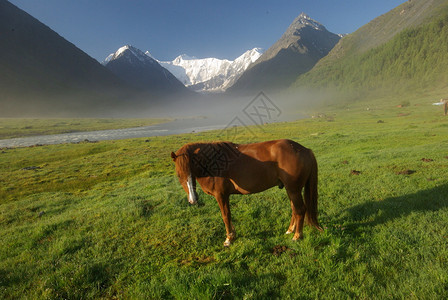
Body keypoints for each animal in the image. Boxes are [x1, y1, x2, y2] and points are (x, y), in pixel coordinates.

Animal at [171, 138, 322, 246]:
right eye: (179, 175)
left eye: (191, 171)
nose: (193, 200)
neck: (213, 163)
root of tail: (305, 150)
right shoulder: (224, 196)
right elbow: (228, 215)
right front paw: (232, 235)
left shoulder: (221, 196)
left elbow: (225, 216)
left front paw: (228, 239)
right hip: (291, 190)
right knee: (294, 209)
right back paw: (290, 230)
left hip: (293, 190)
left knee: (300, 210)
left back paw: (297, 236)